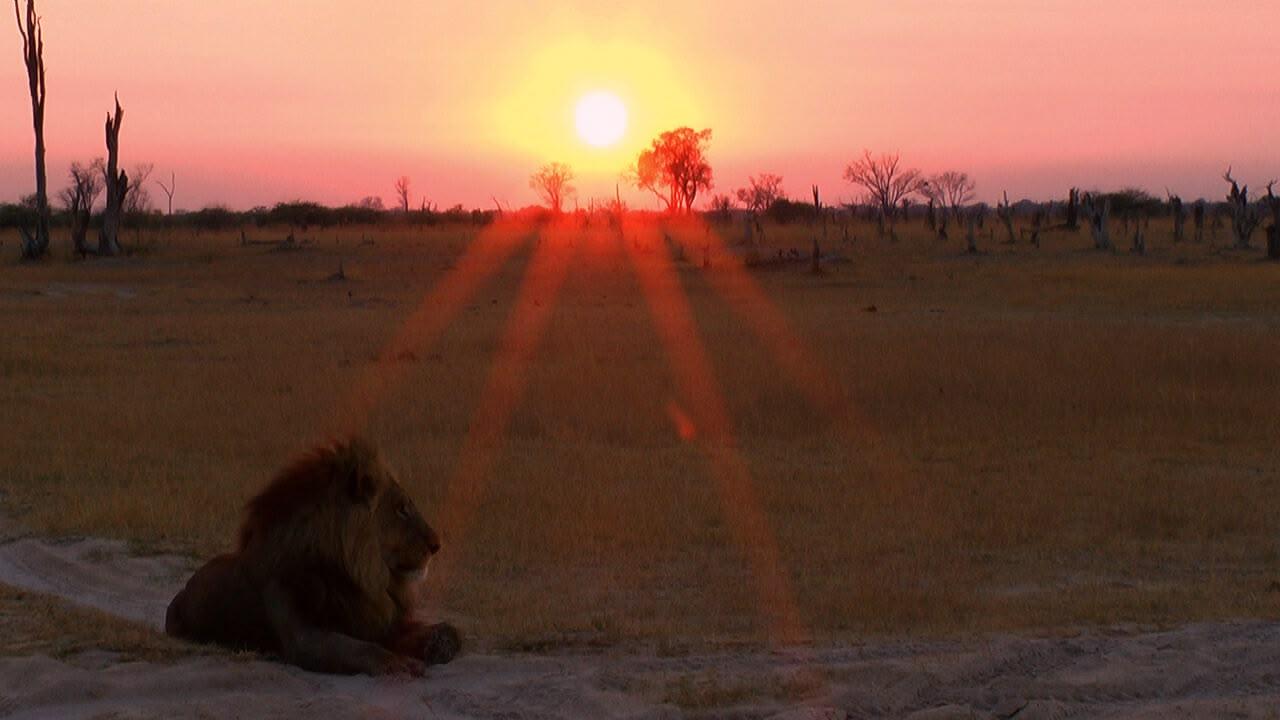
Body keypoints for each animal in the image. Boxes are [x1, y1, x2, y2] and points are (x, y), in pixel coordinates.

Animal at [165, 435, 463, 676]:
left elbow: (449, 631)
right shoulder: (304, 637)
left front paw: (439, 643)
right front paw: (399, 663)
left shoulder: (378, 623)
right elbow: (358, 648)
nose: (437, 544)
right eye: (402, 509)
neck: (360, 575)